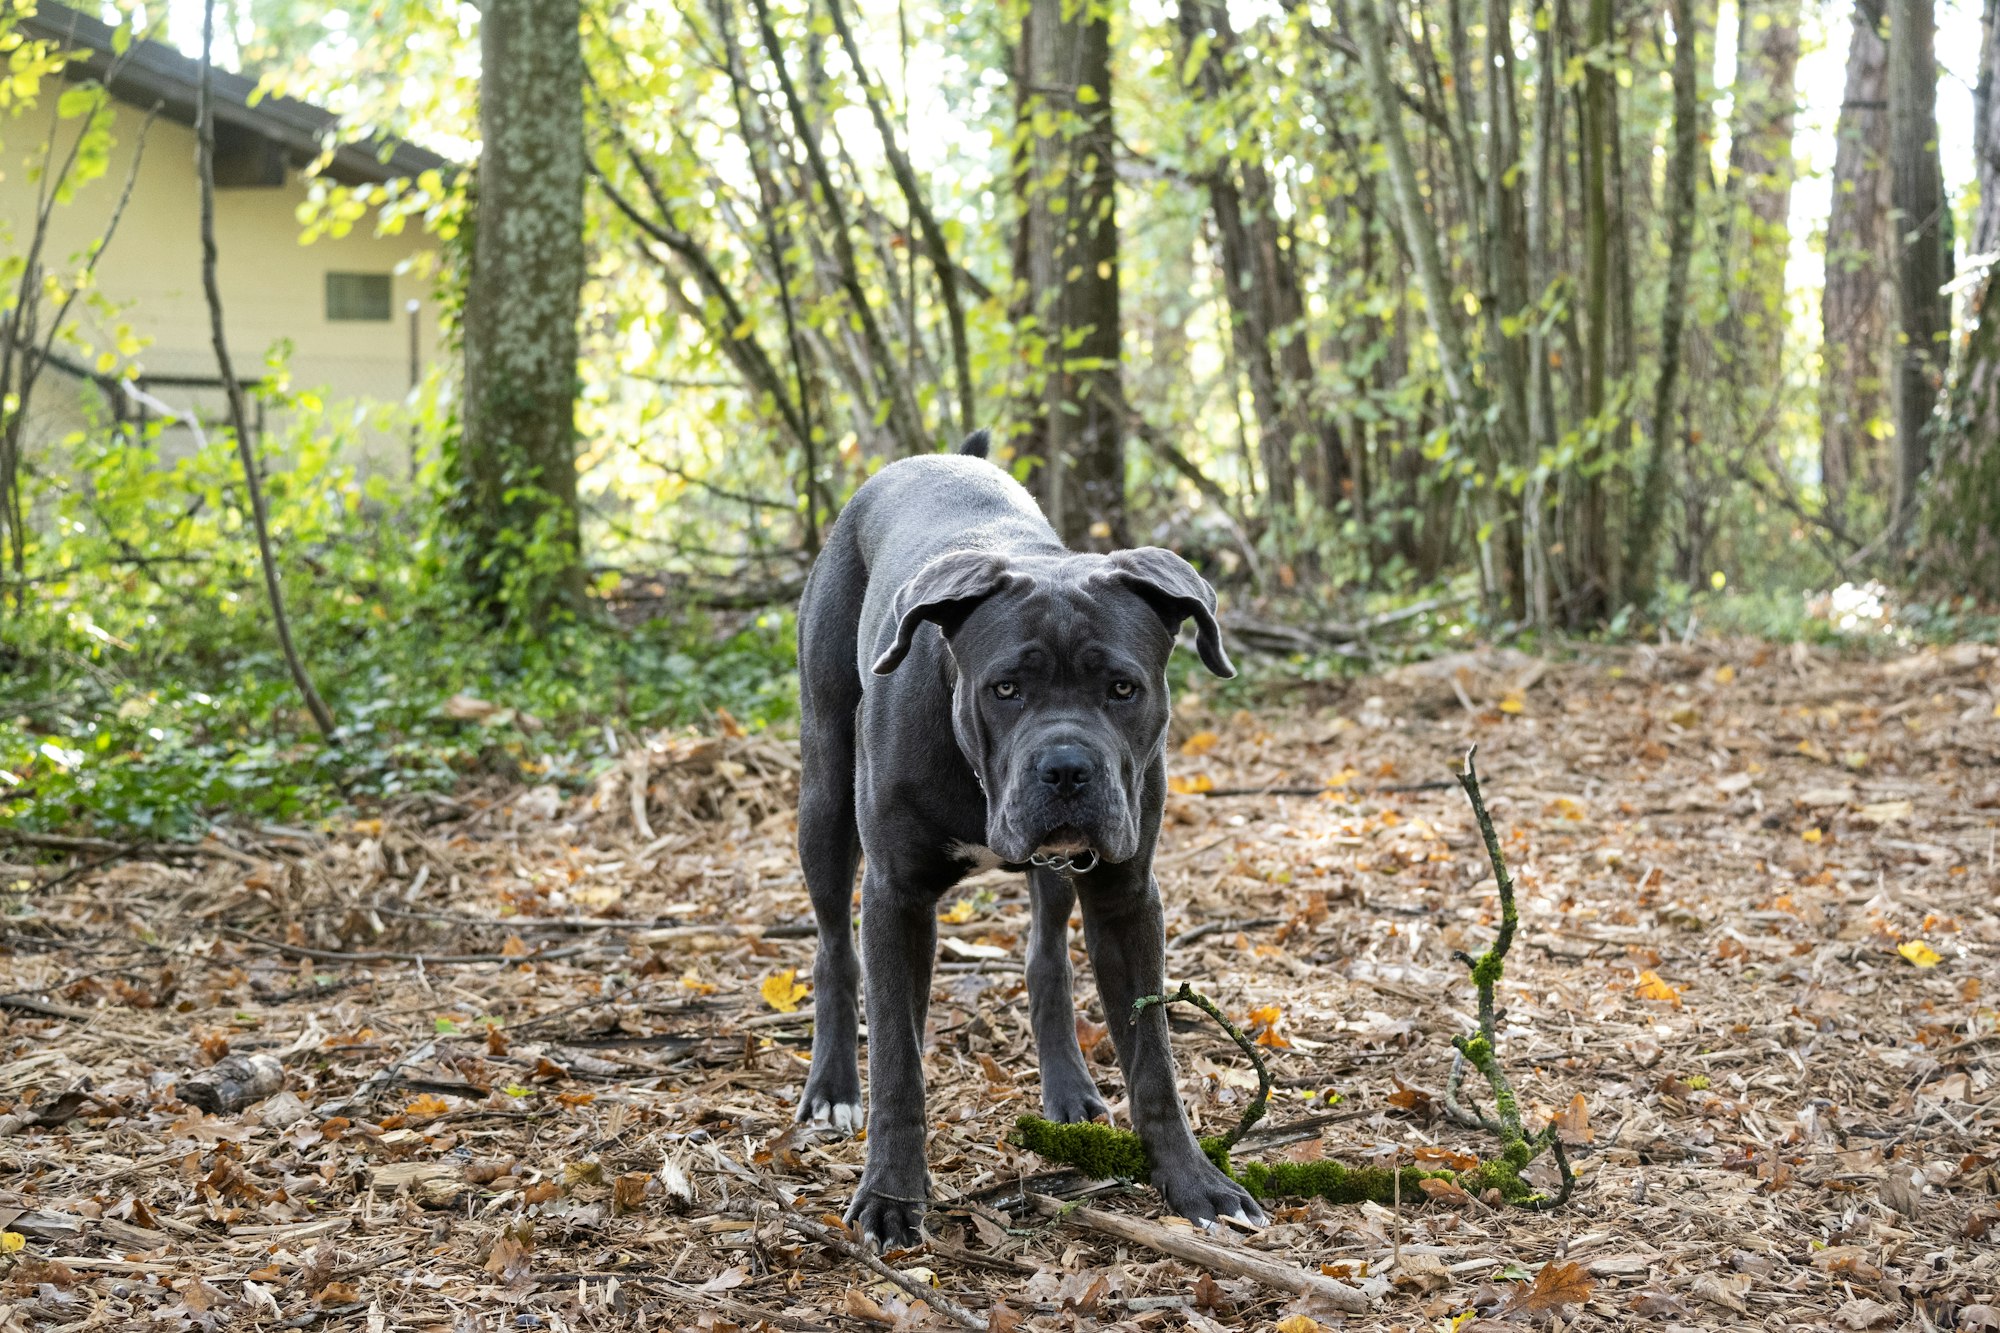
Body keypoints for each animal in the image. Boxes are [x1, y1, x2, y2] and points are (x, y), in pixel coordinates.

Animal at [784, 428, 1264, 1248]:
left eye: (1124, 688)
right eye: (1004, 688)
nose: (1066, 767)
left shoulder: (1125, 893)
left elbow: (1153, 1056)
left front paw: (1193, 1180)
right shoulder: (895, 894)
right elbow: (898, 1063)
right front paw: (891, 1194)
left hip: (1058, 867)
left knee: (1045, 962)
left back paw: (1067, 1085)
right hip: (824, 798)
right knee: (836, 952)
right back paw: (834, 1087)